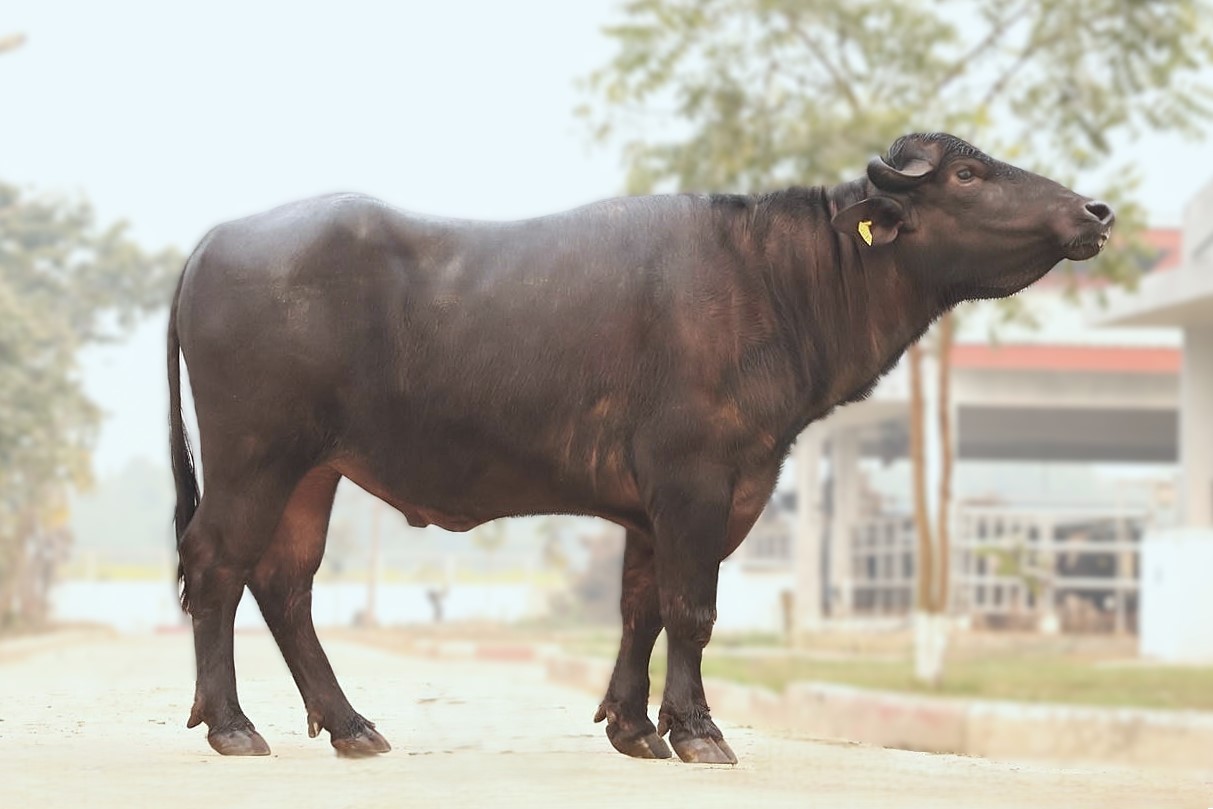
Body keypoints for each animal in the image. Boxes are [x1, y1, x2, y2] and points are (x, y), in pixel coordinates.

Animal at [167, 133, 1114, 762]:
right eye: (967, 172)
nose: (1095, 210)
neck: (775, 281)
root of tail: (215, 240)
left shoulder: (661, 503)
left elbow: (641, 607)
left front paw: (631, 726)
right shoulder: (700, 482)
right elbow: (692, 609)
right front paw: (695, 729)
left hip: (312, 471)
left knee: (285, 584)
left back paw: (351, 724)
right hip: (254, 456)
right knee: (217, 566)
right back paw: (231, 724)